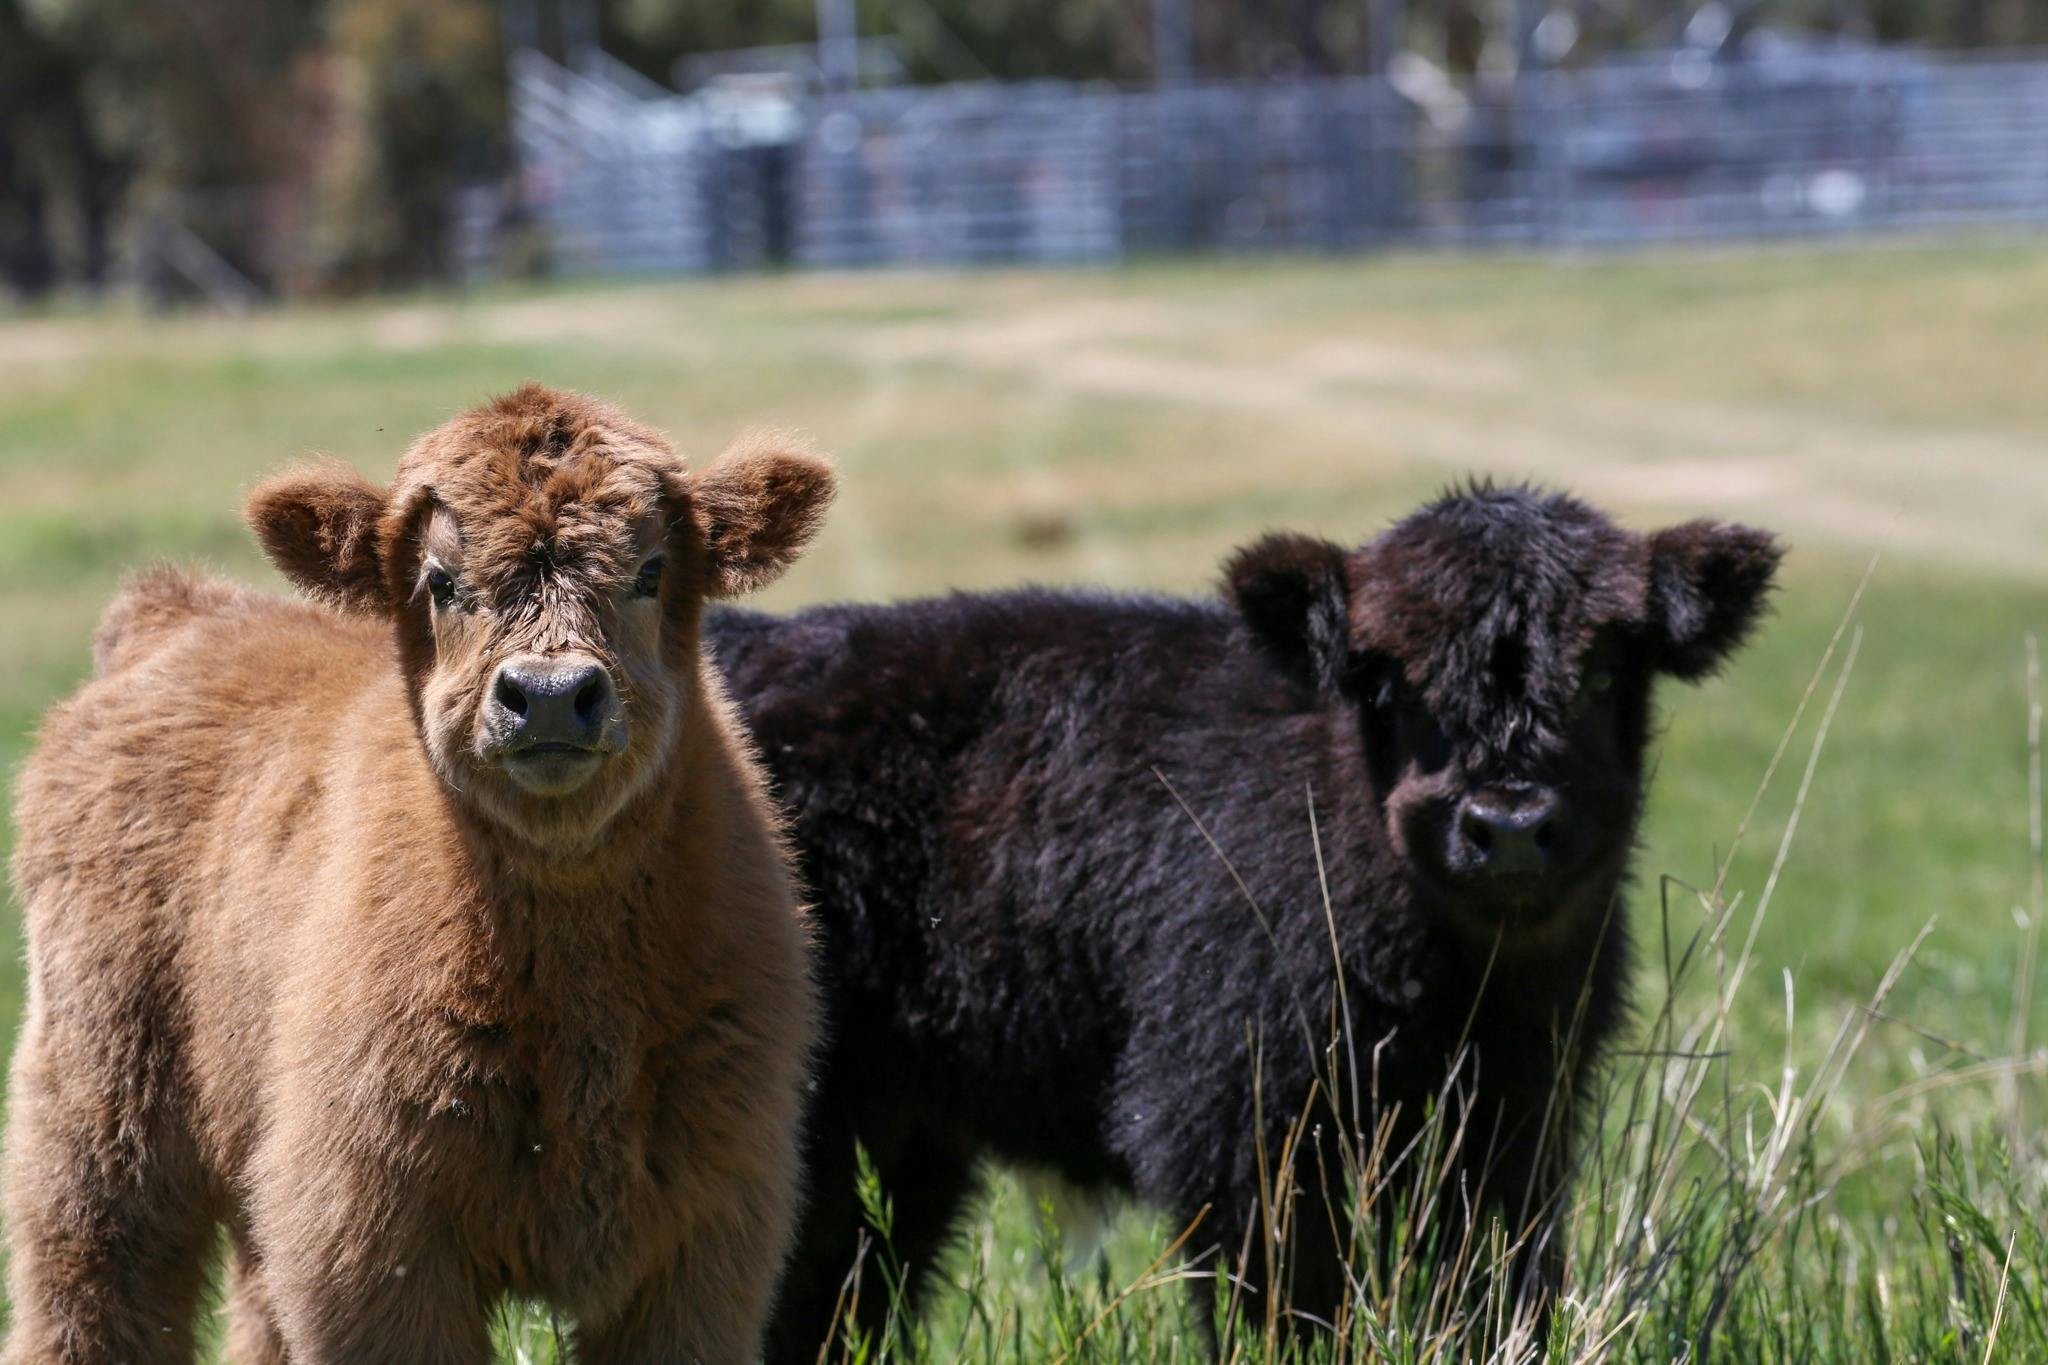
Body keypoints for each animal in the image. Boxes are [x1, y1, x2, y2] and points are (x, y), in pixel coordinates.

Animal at [4, 385, 834, 1364]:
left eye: (651, 569)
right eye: (441, 580)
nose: (549, 695)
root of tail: (180, 611)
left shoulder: (705, 1238)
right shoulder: (371, 1235)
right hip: (98, 1113)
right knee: (93, 1288)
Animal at [707, 484, 1782, 1357]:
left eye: (1605, 672)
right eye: (1389, 680)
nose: (1509, 825)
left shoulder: (1515, 1128)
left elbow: (1488, 1290)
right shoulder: (1239, 1131)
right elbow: (1291, 1311)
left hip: (893, 1145)